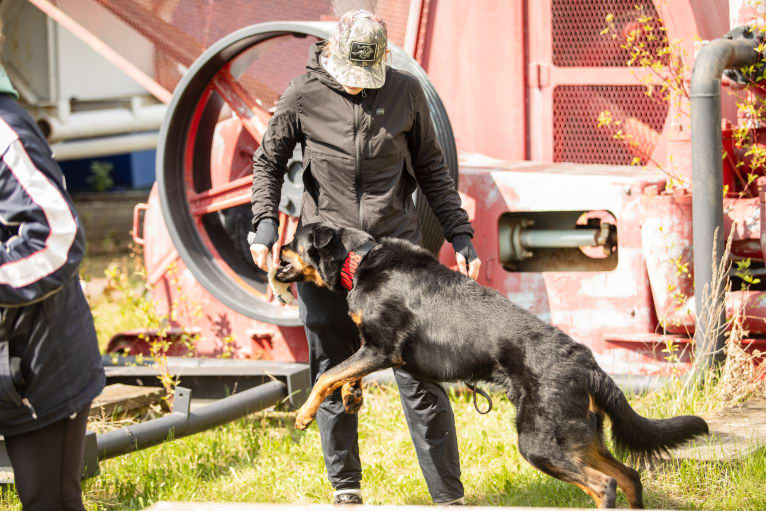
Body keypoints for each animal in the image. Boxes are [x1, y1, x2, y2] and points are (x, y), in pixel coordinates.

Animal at [274, 222, 708, 510]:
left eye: (292, 241)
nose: (275, 252)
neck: (358, 259)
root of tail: (588, 364)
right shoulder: (370, 351)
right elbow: (343, 376)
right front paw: (351, 396)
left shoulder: (382, 349)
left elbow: (327, 374)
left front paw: (303, 415)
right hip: (579, 438)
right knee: (629, 477)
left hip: (538, 442)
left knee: (604, 486)